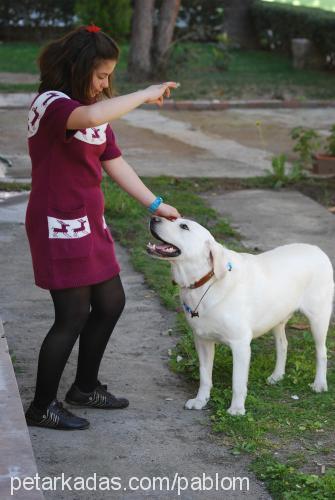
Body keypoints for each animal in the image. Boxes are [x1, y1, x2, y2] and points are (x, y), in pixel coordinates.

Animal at [148, 217, 334, 416]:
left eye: (184, 226)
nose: (154, 218)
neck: (206, 282)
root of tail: (316, 248)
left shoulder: (240, 345)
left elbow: (237, 382)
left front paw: (237, 409)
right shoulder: (202, 341)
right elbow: (205, 376)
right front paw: (200, 400)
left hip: (318, 318)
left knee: (321, 352)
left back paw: (319, 384)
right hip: (276, 317)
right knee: (283, 344)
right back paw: (277, 376)